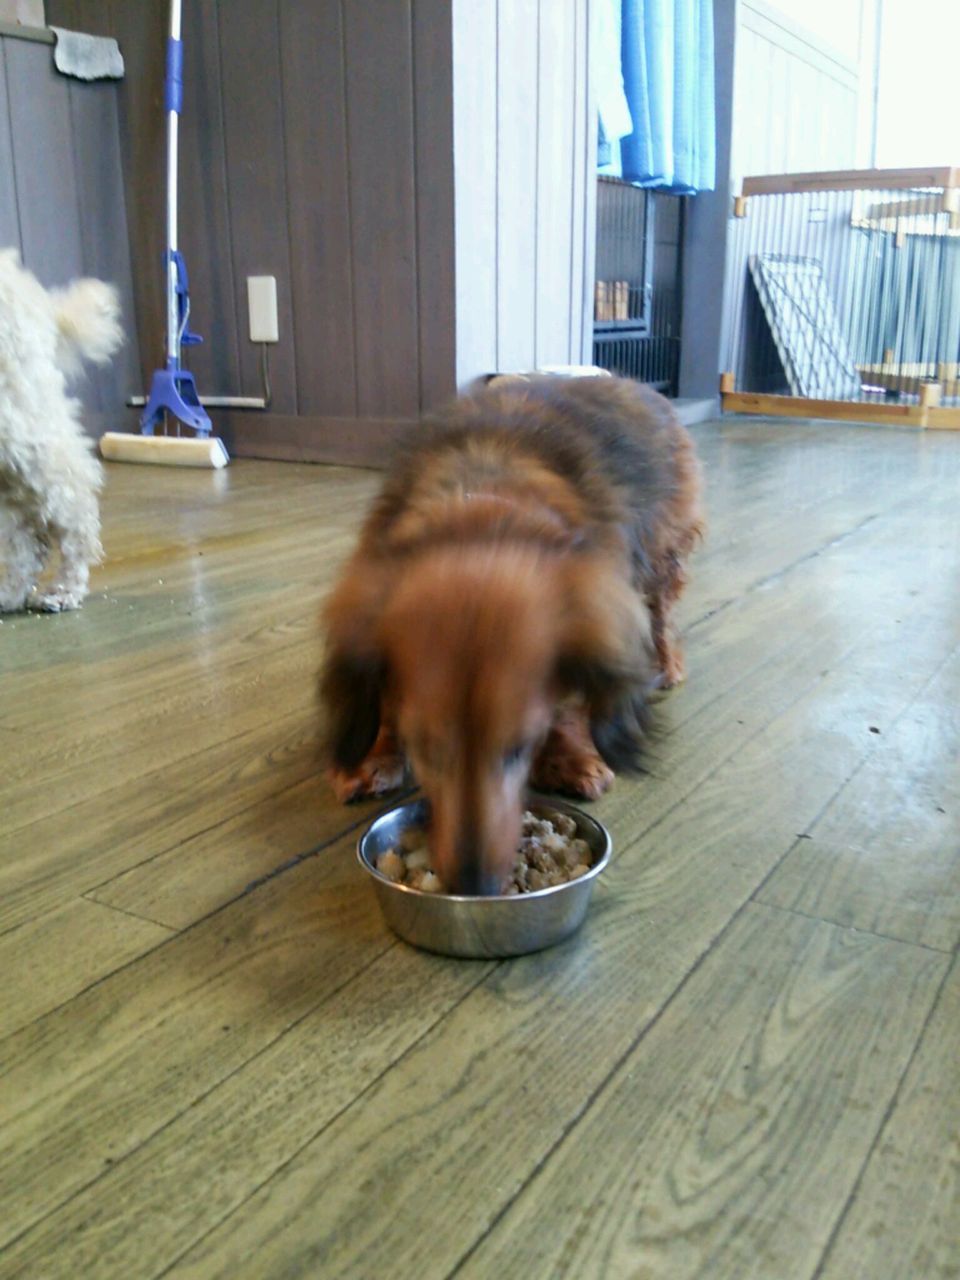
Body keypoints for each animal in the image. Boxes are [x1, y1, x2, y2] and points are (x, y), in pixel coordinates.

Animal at [320, 375, 703, 894]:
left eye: (521, 747)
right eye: (425, 747)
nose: (475, 885)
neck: (481, 514)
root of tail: (638, 383)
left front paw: (568, 757)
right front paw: (372, 754)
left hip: (662, 550)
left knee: (659, 611)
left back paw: (664, 664)